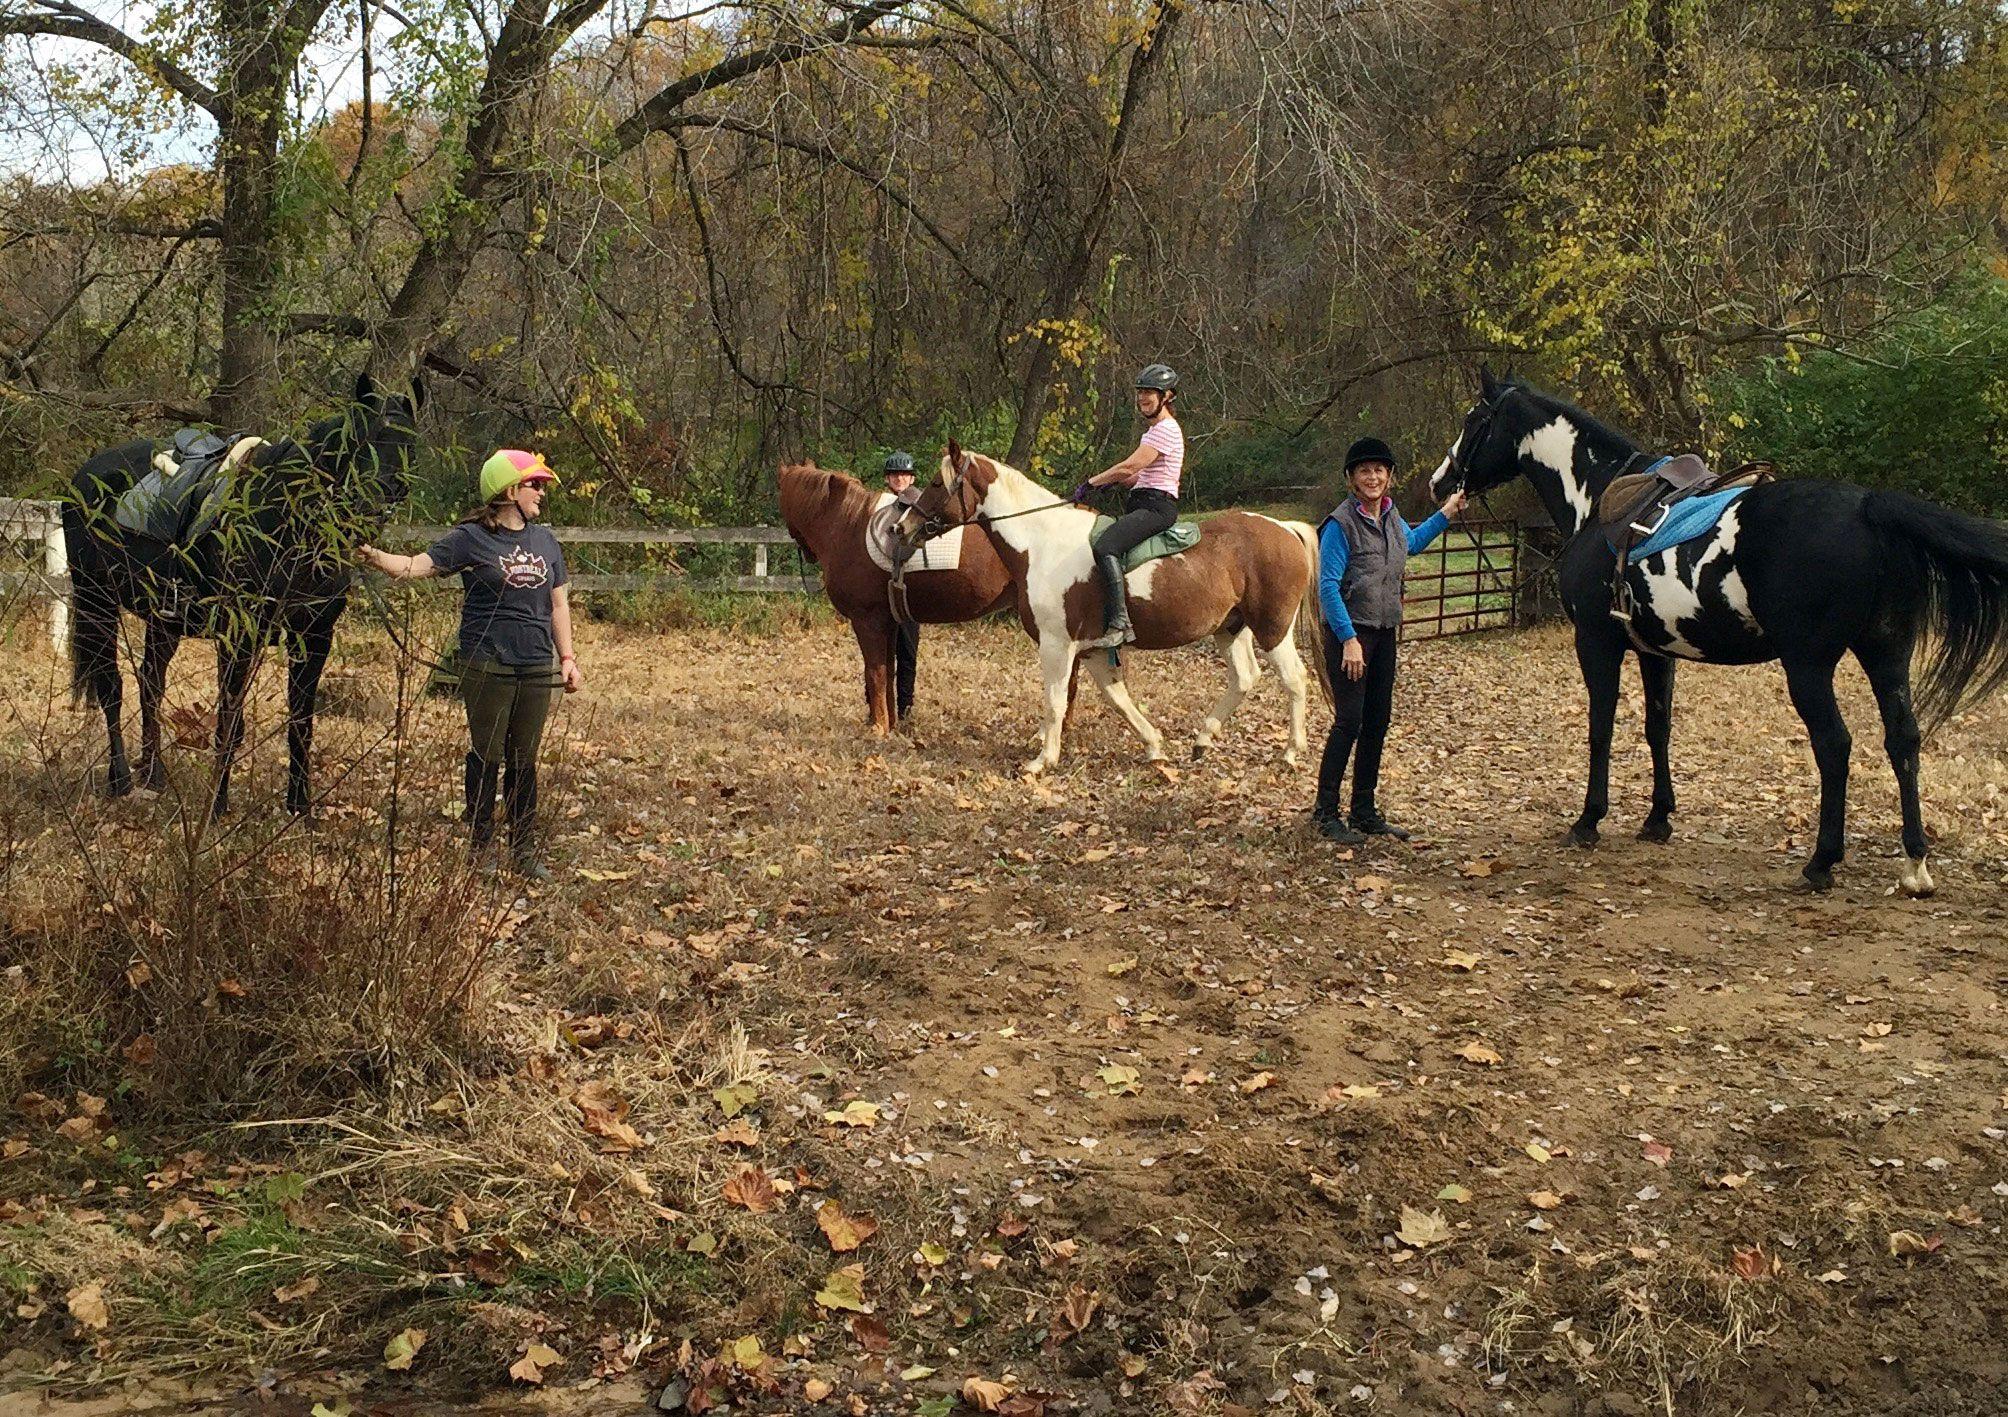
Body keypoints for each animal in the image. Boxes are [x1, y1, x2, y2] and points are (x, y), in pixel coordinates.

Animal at [63, 373, 423, 818]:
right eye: (358, 440)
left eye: (409, 443)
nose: (370, 505)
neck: (287, 520)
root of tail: (86, 473)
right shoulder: (239, 637)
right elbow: (230, 723)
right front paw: (217, 808)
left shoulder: (313, 637)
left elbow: (301, 724)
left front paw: (300, 809)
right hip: (96, 601)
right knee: (110, 687)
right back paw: (122, 780)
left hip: (163, 620)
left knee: (150, 684)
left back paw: (153, 774)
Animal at [771, 461, 1012, 730]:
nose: (808, 553)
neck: (849, 524)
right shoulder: (889, 621)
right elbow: (888, 671)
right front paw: (890, 724)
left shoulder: (867, 621)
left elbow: (875, 672)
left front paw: (878, 728)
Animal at [903, 441, 1325, 770]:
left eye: (936, 483)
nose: (901, 527)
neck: (1042, 543)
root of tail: (1285, 527)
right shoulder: (1090, 649)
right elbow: (1116, 697)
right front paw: (1154, 745)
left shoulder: (1057, 645)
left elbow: (1055, 700)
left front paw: (1043, 760)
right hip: (1230, 628)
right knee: (1244, 678)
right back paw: (1203, 740)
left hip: (1273, 628)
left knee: (1294, 679)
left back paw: (1291, 751)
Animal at [1429, 367, 2007, 895]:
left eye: (1473, 419)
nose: (1440, 483)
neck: (1598, 501)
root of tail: (1868, 507)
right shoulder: (1655, 651)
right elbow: (1657, 728)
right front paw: (1658, 819)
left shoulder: (1596, 642)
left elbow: (1601, 728)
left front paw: (1588, 820)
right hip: (1886, 654)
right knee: (1903, 740)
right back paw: (1915, 864)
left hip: (1809, 664)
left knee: (1834, 745)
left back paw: (1821, 863)